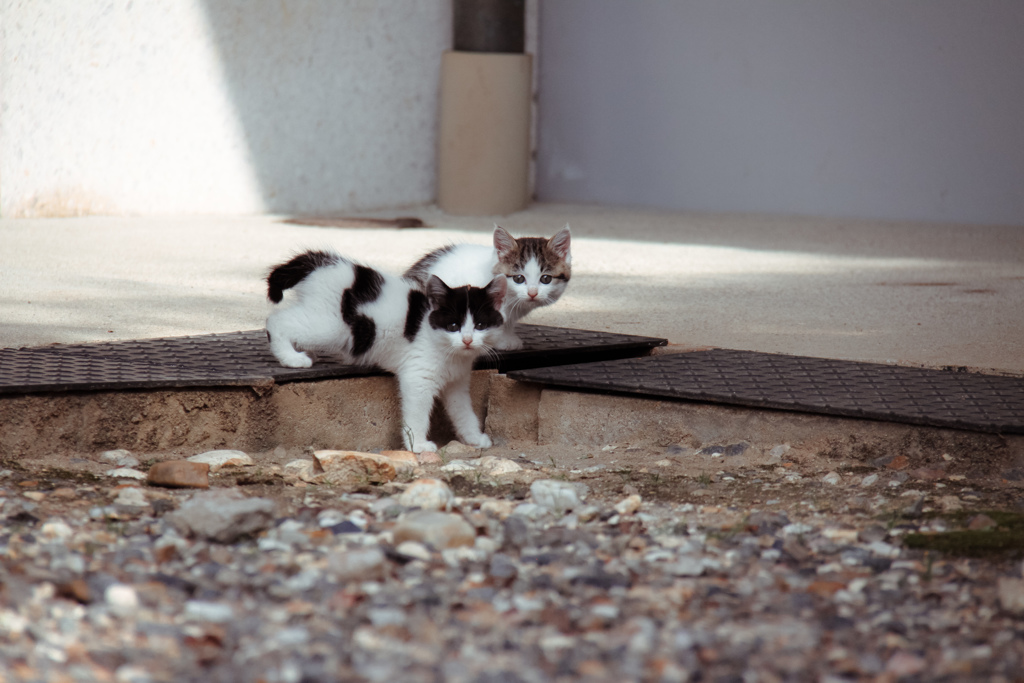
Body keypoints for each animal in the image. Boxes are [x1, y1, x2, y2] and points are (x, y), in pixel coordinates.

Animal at [264, 250, 503, 454]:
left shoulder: (457, 382)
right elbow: (417, 413)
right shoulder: (417, 377)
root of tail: (321, 265)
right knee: (276, 321)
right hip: (330, 326)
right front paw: (417, 445)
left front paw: (474, 437)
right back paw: (291, 358)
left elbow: (463, 411)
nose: (467, 340)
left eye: (480, 325)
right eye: (453, 326)